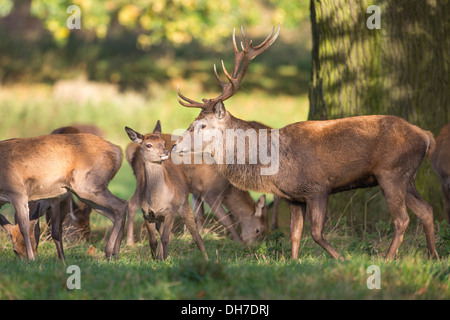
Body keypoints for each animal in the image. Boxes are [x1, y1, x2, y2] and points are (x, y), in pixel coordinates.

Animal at [0, 132, 126, 260]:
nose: (25, 259)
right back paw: (116, 253)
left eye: (35, 245)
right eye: (15, 251)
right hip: (87, 193)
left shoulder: (18, 193)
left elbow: (24, 226)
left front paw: (31, 259)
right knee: (114, 213)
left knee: (121, 205)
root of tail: (118, 151)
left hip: (89, 186)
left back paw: (109, 252)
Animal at [123, 120, 207, 260]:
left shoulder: (170, 210)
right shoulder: (147, 214)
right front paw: (155, 259)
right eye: (148, 145)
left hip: (184, 205)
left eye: (163, 142)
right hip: (160, 219)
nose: (166, 152)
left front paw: (164, 260)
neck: (157, 201)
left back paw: (206, 258)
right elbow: (153, 240)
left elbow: (165, 238)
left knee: (196, 235)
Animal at [125, 134, 268, 245]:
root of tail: (132, 151)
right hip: (141, 179)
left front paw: (199, 234)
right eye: (258, 230)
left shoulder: (197, 192)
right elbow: (225, 218)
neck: (227, 189)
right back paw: (130, 242)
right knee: (132, 204)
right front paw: (238, 242)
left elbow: (199, 214)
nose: (252, 244)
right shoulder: (210, 192)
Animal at [172, 24, 440, 260]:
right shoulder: (294, 197)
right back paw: (433, 256)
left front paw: (342, 259)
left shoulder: (318, 187)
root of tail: (425, 135)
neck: (272, 166)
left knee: (402, 219)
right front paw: (294, 261)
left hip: (391, 172)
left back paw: (388, 258)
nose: (174, 146)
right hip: (407, 176)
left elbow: (316, 233)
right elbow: (295, 234)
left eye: (202, 125)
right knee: (427, 210)